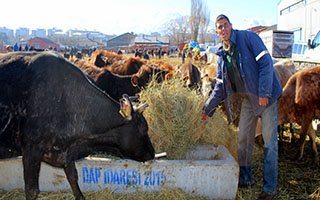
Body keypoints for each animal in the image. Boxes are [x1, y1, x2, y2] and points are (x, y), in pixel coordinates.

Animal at [0, 52, 155, 200]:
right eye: (144, 128)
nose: (152, 153)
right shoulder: (31, 149)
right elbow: (32, 191)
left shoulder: (66, 152)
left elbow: (73, 177)